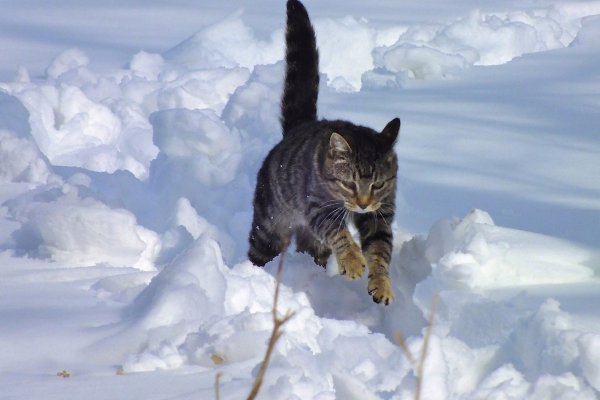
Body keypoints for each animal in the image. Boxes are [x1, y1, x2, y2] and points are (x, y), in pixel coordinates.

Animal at [246, 0, 400, 304]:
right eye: (349, 183)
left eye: (377, 185)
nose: (363, 203)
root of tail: (297, 128)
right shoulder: (319, 208)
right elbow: (340, 235)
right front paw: (352, 262)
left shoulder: (379, 214)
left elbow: (380, 251)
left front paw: (381, 284)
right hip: (269, 226)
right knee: (258, 251)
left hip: (309, 239)